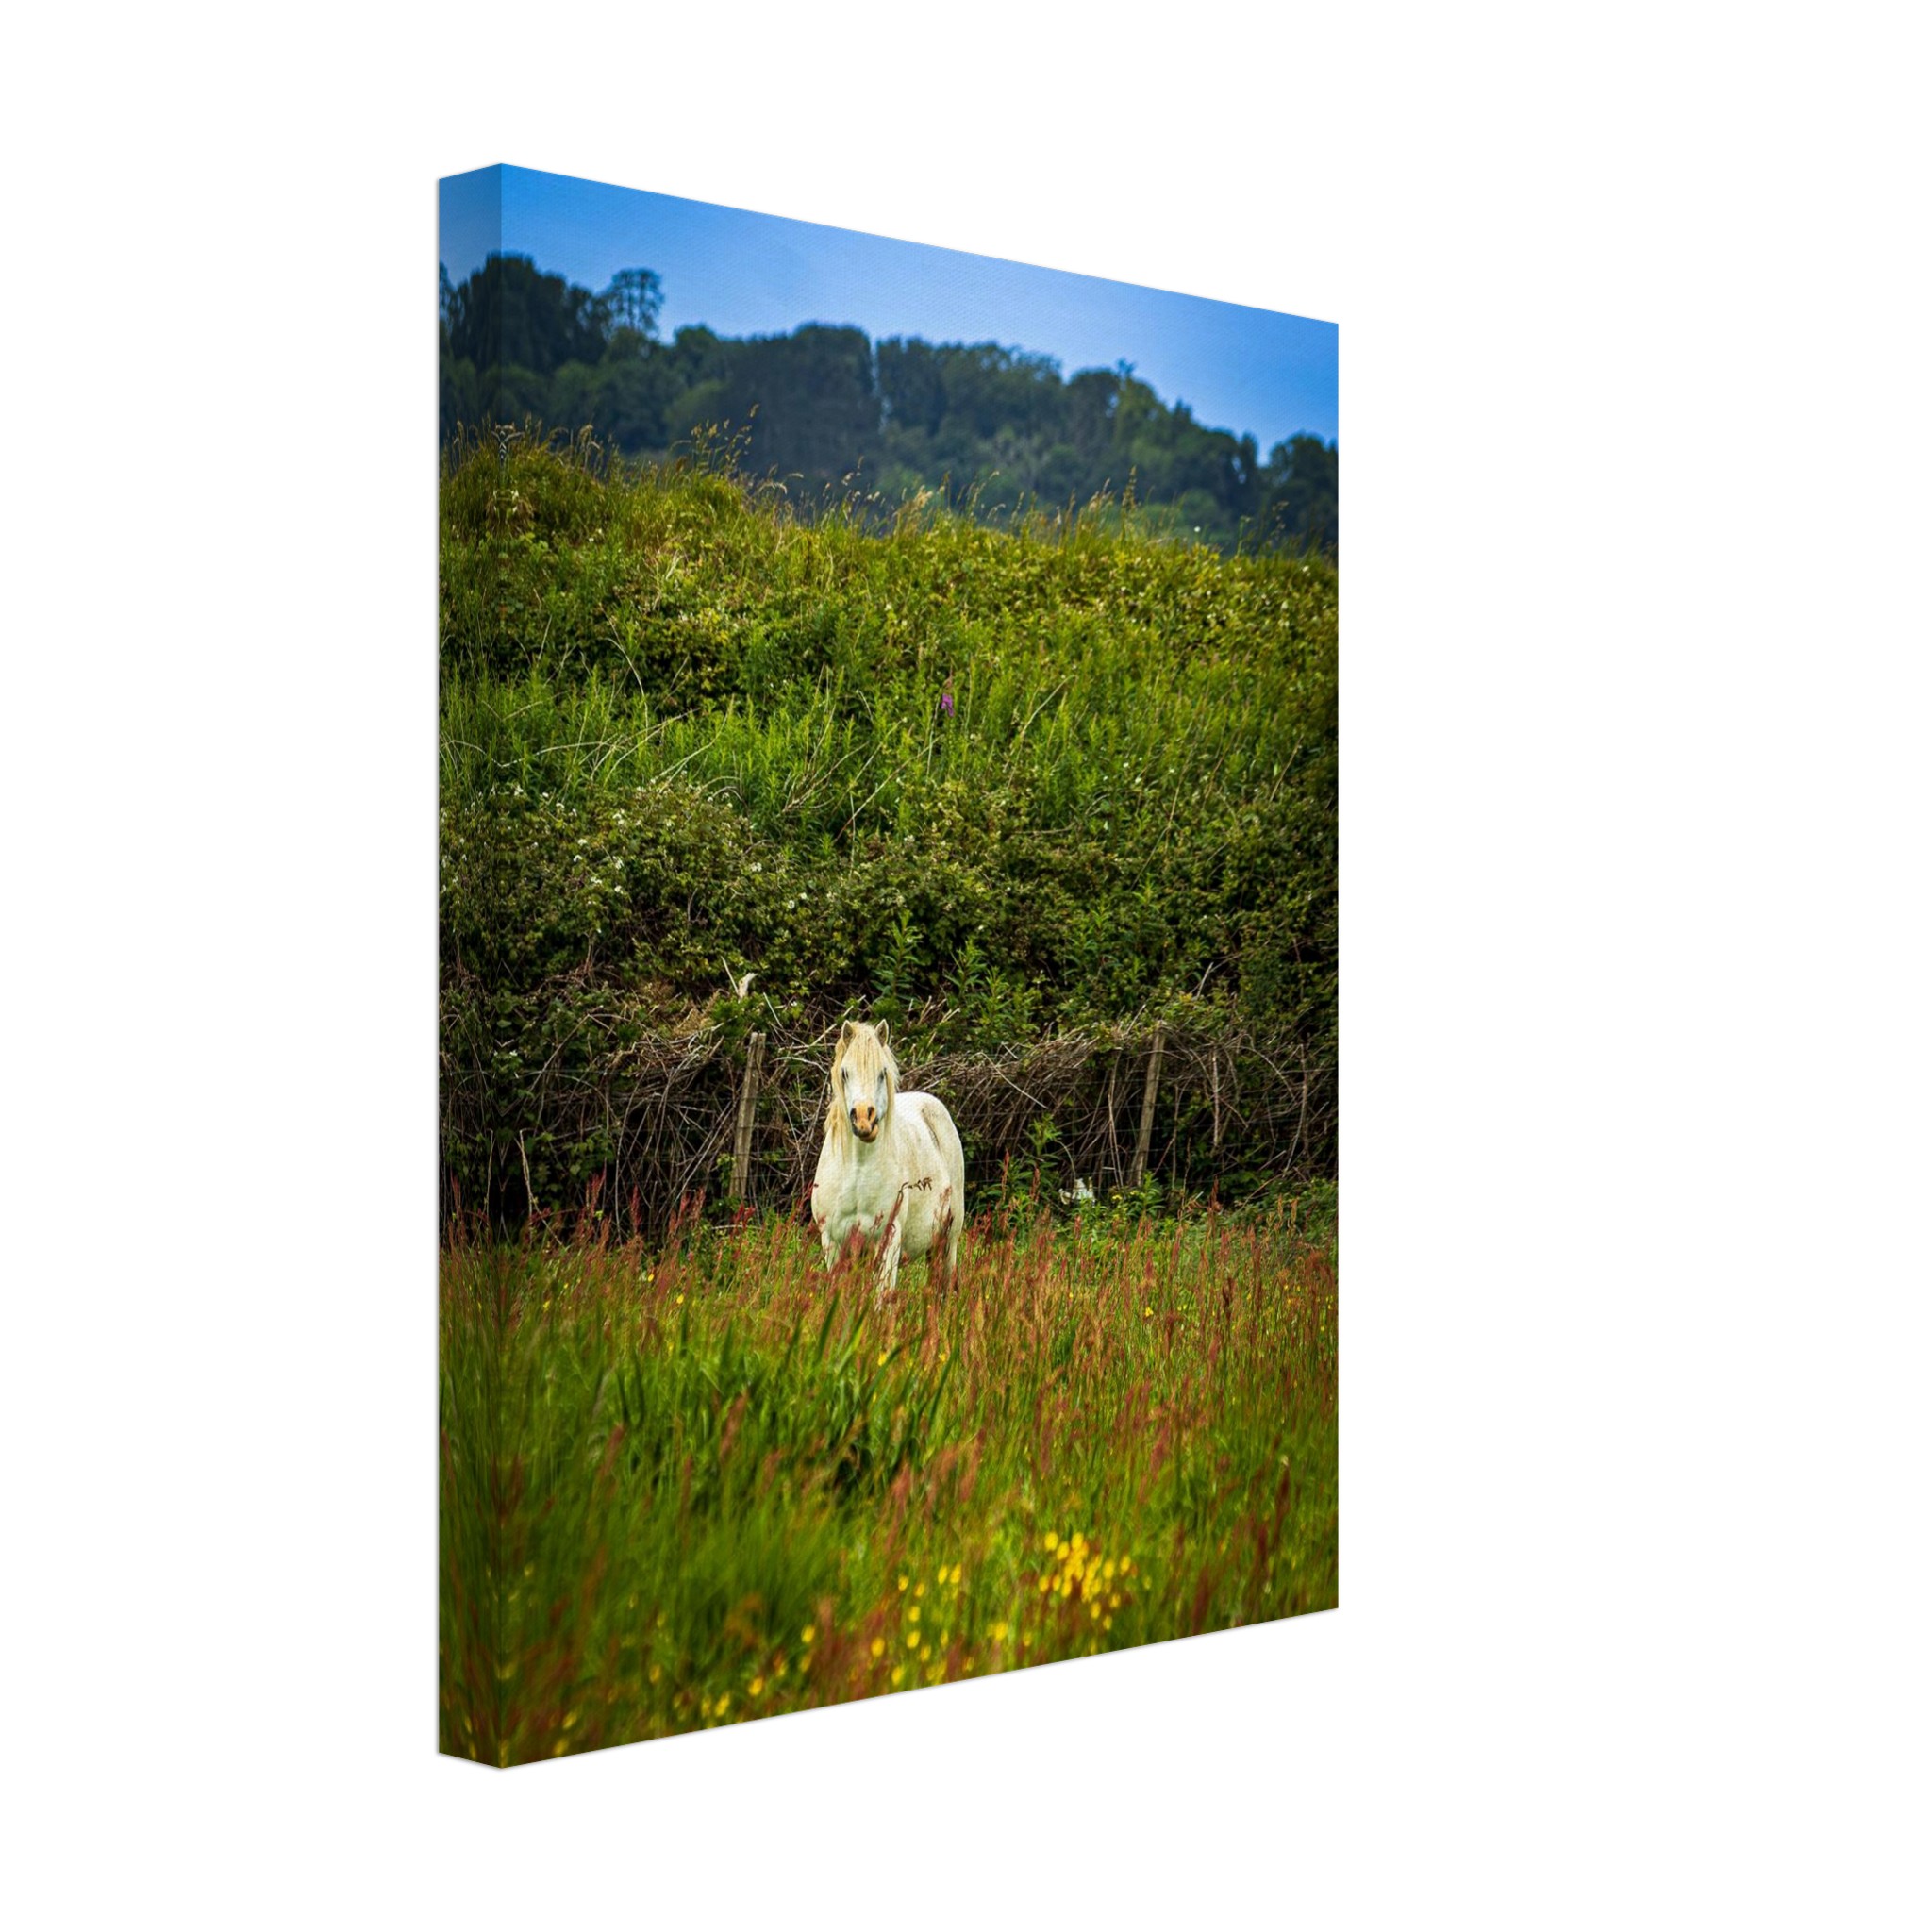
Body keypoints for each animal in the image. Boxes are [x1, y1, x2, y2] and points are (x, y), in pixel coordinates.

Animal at [810, 1018, 966, 1300]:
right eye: (845, 1073)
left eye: (882, 1072)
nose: (864, 1119)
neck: (857, 1172)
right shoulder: (833, 1243)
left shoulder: (889, 1241)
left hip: (948, 1240)